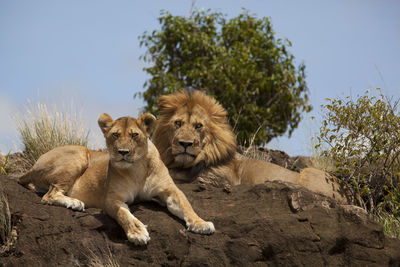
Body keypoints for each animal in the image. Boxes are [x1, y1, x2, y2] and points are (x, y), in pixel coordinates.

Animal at [19, 112, 214, 246]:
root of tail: (34, 164)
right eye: (115, 135)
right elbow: (124, 214)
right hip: (80, 153)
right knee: (50, 195)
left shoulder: (170, 190)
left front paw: (201, 223)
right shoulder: (112, 198)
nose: (123, 152)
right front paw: (137, 233)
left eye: (134, 135)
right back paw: (74, 202)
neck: (137, 168)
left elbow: (186, 205)